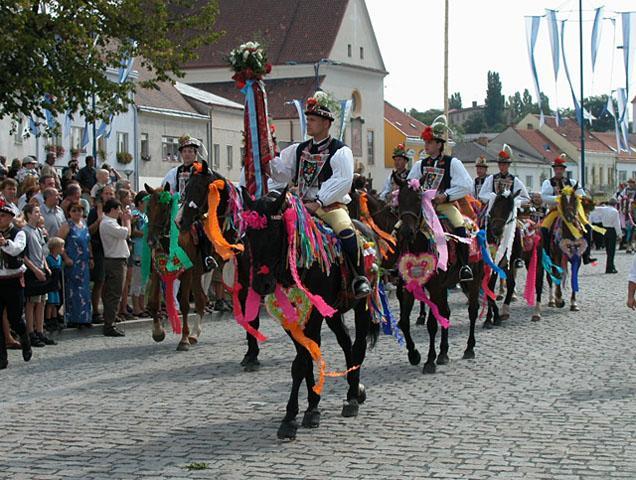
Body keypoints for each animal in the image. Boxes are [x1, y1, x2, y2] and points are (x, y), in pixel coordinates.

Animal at [143, 182, 206, 350]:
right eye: (148, 208)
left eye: (164, 209)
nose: (151, 241)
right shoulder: (157, 270)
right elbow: (153, 301)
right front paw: (158, 332)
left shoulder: (187, 272)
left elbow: (184, 304)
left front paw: (183, 339)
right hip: (197, 273)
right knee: (201, 299)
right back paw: (194, 334)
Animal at [238, 187, 378, 438]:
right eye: (249, 237)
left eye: (274, 235)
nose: (261, 285)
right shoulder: (291, 319)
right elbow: (305, 359)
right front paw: (306, 408)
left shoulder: (313, 316)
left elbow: (302, 362)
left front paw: (299, 415)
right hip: (334, 312)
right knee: (346, 341)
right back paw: (355, 389)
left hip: (362, 307)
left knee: (359, 345)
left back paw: (353, 397)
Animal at [392, 176, 482, 372]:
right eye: (399, 200)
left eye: (418, 199)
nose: (406, 232)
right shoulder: (409, 287)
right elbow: (403, 321)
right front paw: (414, 355)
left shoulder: (434, 287)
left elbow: (432, 324)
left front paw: (429, 361)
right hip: (446, 286)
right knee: (446, 313)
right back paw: (444, 354)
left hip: (473, 281)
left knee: (472, 311)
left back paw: (469, 349)